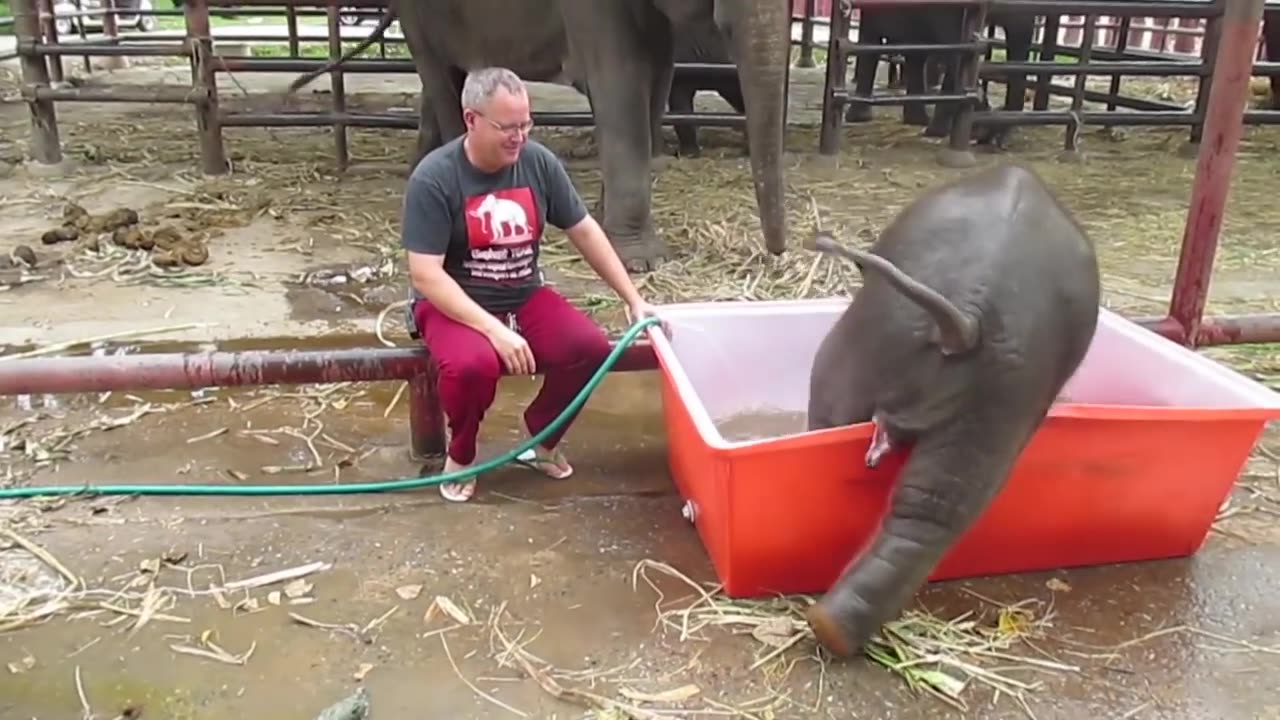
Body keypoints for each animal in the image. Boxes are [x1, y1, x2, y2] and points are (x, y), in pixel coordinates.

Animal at [289, 0, 788, 270]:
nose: (775, 256)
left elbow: (657, 77)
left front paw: (603, 223)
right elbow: (621, 77)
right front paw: (642, 261)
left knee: (450, 80)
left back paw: (419, 176)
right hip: (420, 14)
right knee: (439, 75)